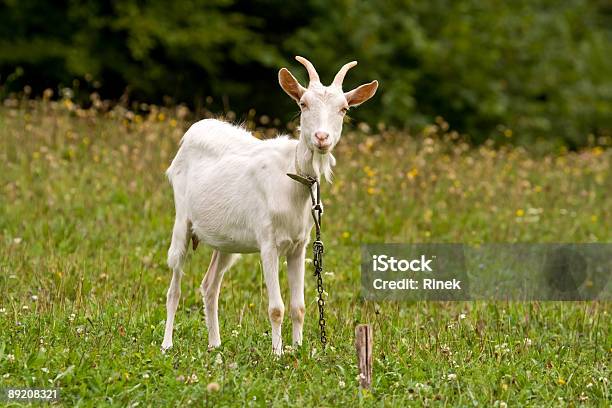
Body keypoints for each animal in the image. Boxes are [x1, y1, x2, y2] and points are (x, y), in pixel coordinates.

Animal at [160, 55, 376, 354]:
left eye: (343, 109)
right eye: (303, 104)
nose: (322, 138)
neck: (292, 179)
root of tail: (194, 130)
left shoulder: (299, 246)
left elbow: (298, 307)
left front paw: (298, 349)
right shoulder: (268, 243)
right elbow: (276, 308)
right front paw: (277, 353)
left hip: (226, 242)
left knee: (209, 285)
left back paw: (215, 344)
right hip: (182, 219)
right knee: (175, 285)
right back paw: (167, 344)